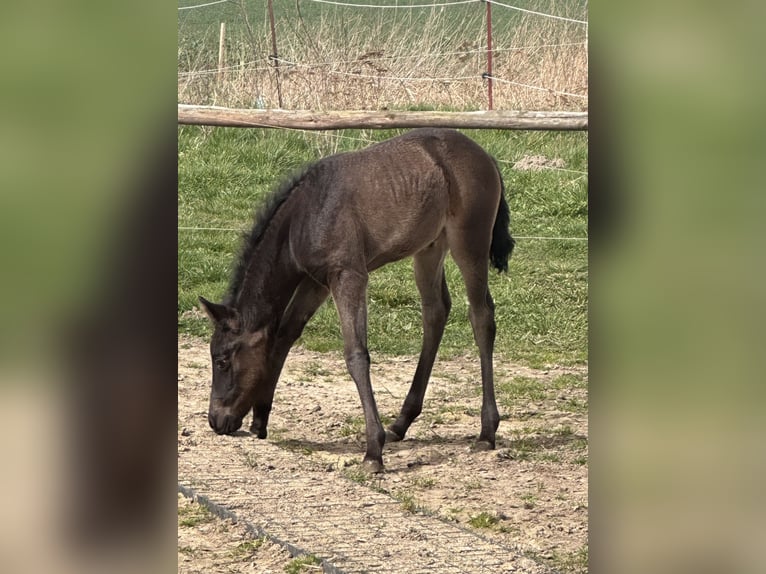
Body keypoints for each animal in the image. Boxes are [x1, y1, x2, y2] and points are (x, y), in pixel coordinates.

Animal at [199, 128, 514, 474]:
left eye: (222, 360)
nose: (216, 420)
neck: (305, 215)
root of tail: (484, 155)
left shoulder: (349, 276)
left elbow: (356, 355)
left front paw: (372, 451)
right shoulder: (316, 282)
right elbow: (284, 336)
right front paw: (260, 419)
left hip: (469, 242)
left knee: (481, 316)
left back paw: (486, 432)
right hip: (429, 248)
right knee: (436, 311)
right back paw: (401, 423)